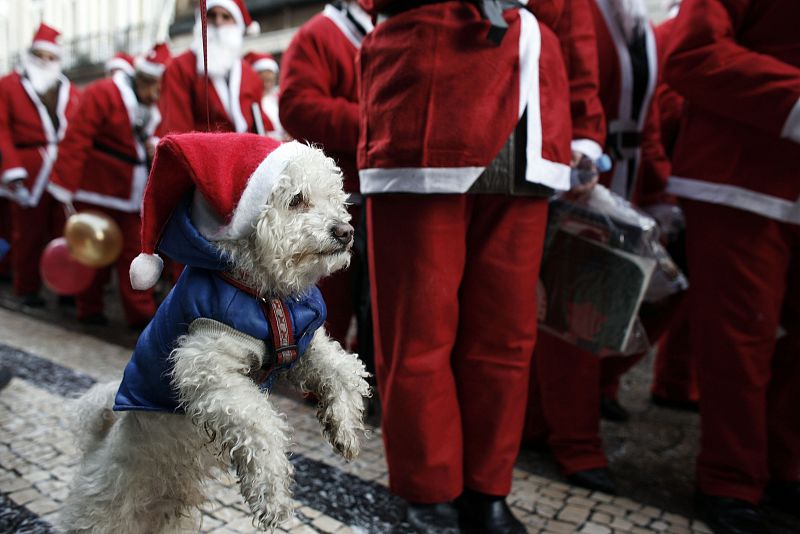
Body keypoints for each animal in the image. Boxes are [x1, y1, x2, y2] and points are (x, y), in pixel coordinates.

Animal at [59, 140, 372, 532]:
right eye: (297, 199)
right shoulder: (205, 366)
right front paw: (272, 496)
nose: (345, 232)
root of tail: (96, 449)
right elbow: (261, 424)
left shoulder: (304, 344)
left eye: (335, 198)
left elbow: (344, 371)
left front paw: (344, 429)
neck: (265, 295)